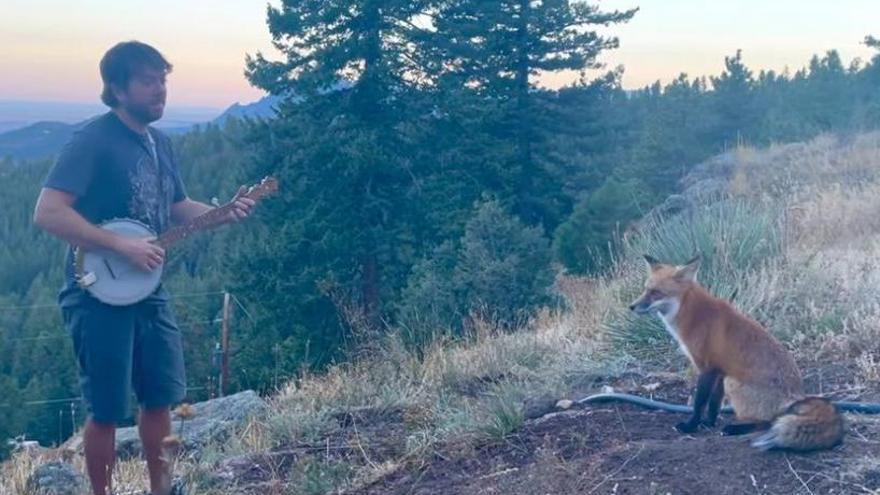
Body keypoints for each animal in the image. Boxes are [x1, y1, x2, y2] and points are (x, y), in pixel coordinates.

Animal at [628, 256, 844, 454]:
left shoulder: (707, 368)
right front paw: (708, 423)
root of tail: (795, 398)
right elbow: (714, 404)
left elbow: (699, 402)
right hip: (729, 381)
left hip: (733, 383)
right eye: (645, 289)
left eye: (656, 292)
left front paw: (691, 426)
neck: (694, 314)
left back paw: (735, 428)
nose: (631, 306)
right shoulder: (720, 371)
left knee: (768, 422)